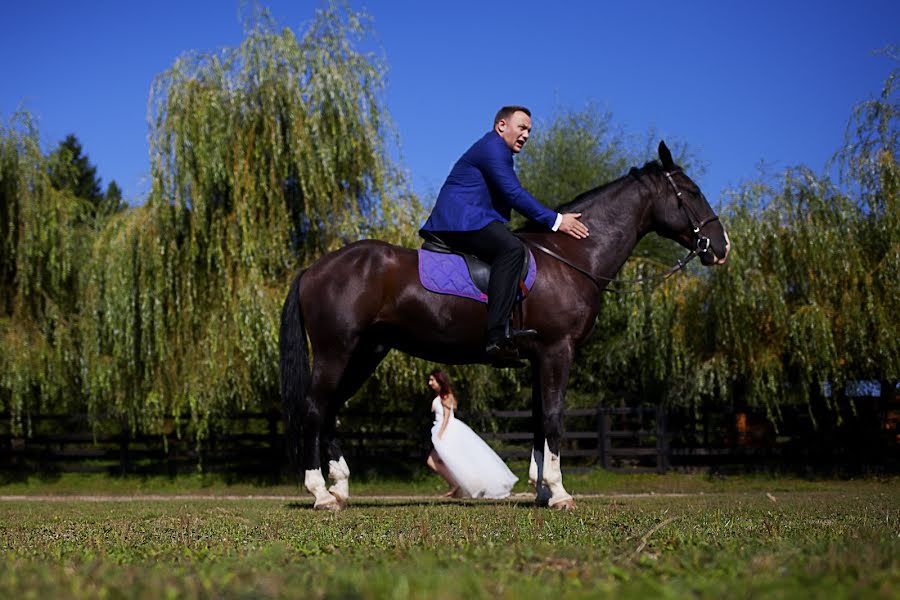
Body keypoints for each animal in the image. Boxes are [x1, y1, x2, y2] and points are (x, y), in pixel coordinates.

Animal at [282, 143, 732, 508]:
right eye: (692, 192)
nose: (721, 246)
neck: (572, 257)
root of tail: (315, 268)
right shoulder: (557, 351)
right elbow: (553, 416)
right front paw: (559, 493)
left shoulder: (539, 358)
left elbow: (538, 418)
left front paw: (541, 489)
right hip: (336, 351)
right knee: (314, 408)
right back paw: (320, 494)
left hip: (366, 352)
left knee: (331, 409)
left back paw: (340, 488)